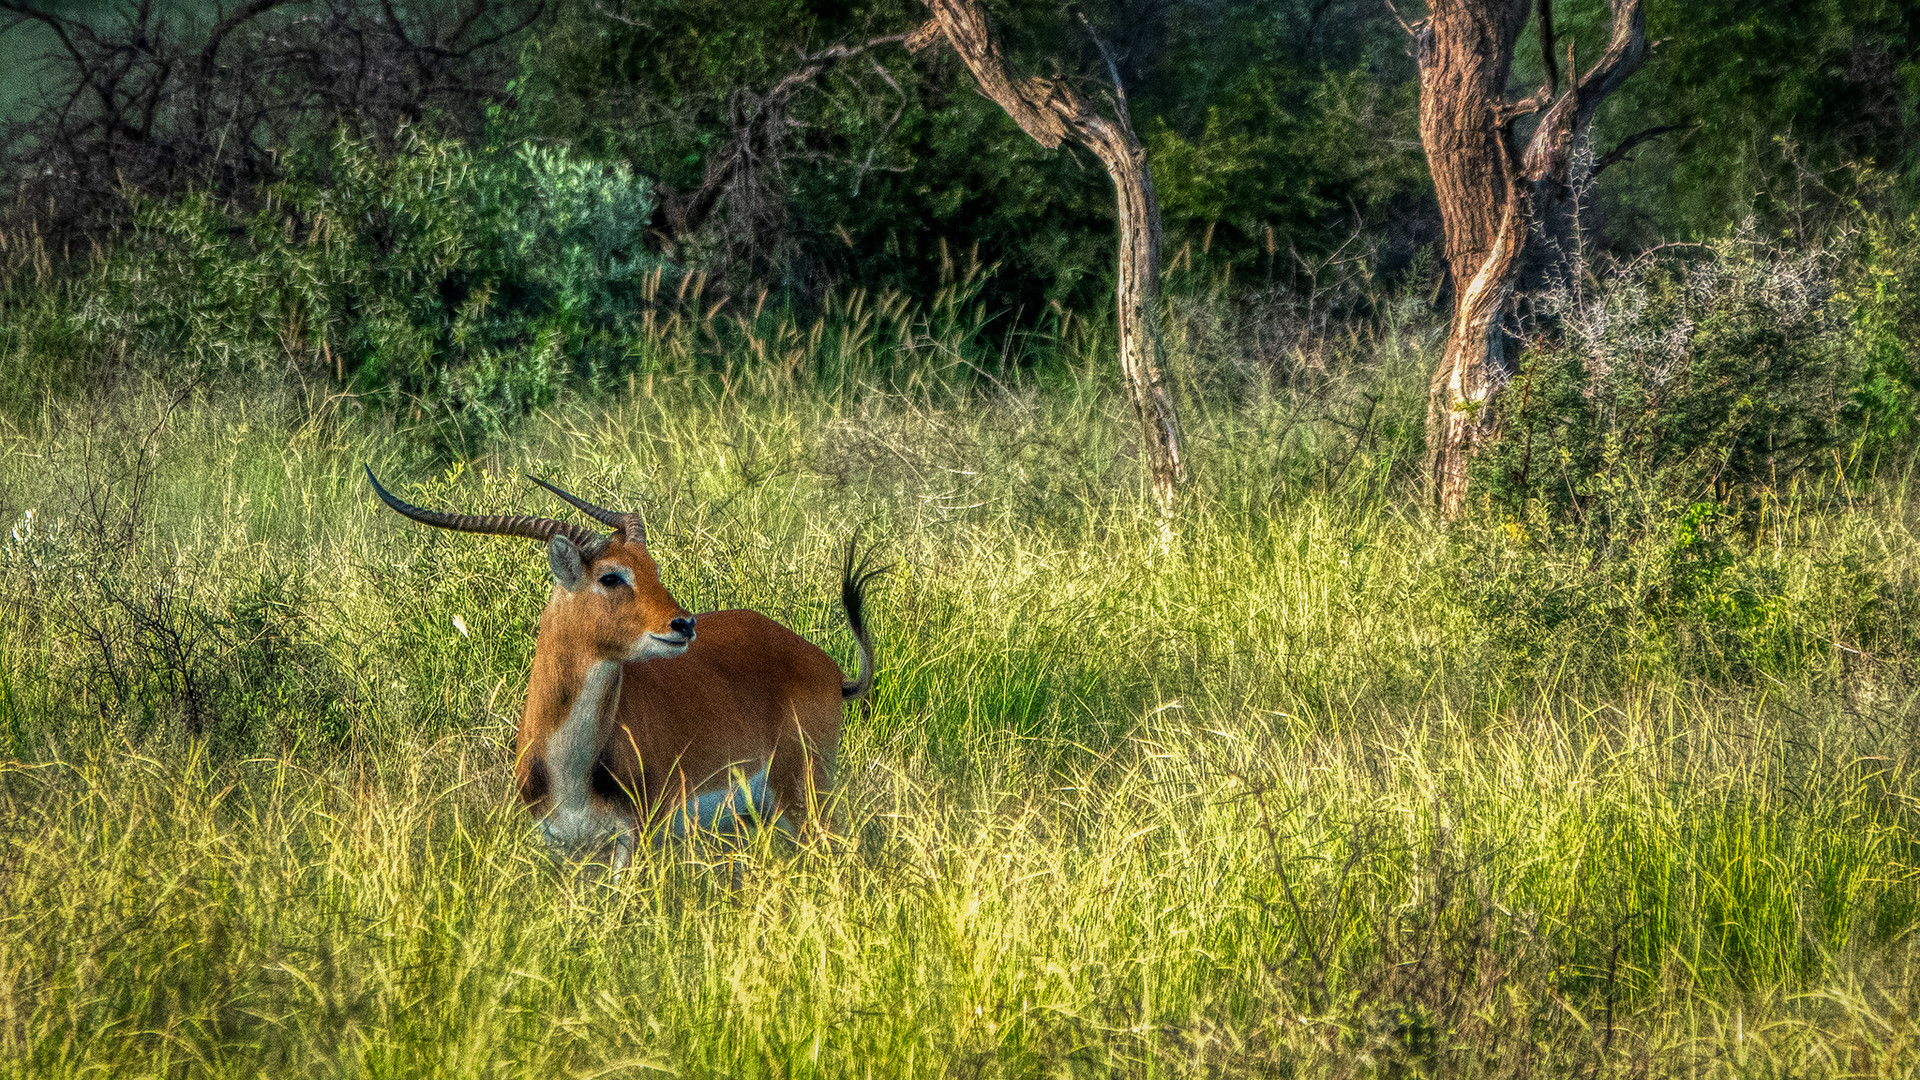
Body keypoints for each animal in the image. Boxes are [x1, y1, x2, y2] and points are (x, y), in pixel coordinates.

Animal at [362, 466, 879, 860]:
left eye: (653, 568)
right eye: (612, 576)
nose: (684, 624)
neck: (569, 768)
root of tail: (829, 668)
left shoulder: (636, 839)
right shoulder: (559, 848)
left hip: (806, 799)